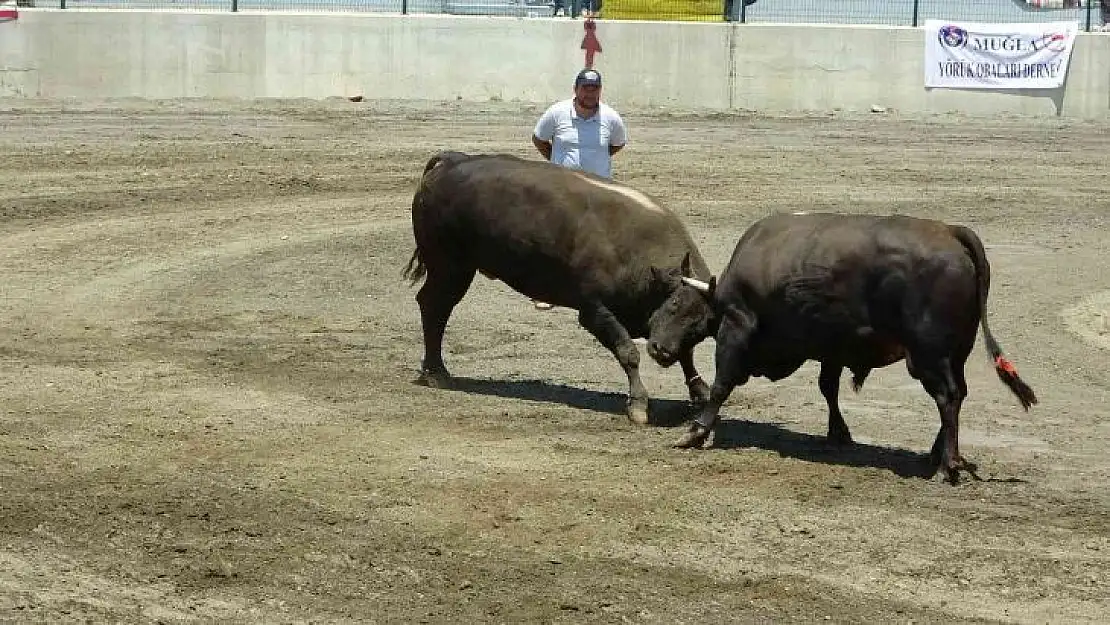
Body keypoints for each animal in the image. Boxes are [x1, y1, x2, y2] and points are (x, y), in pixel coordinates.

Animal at [404, 152, 714, 426]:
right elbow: (628, 352)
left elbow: (686, 355)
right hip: (449, 268)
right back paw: (436, 372)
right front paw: (638, 405)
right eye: (673, 305)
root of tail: (451, 160)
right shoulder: (594, 311)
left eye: (701, 326)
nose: (661, 352)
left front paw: (700, 392)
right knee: (434, 307)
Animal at [648, 213, 1034, 486]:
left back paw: (947, 465)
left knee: (948, 397)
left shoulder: (736, 328)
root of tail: (952, 232)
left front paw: (696, 431)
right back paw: (936, 454)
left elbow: (721, 384)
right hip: (956, 354)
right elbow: (828, 388)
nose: (654, 346)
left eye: (676, 304)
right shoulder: (831, 346)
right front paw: (838, 432)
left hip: (929, 356)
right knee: (958, 395)